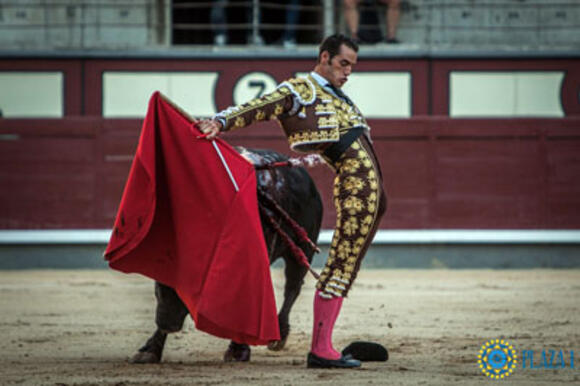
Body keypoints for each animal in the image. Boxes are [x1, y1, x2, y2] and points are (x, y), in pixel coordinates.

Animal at [129, 149, 324, 364]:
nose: (168, 323)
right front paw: (149, 350)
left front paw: (238, 350)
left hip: (302, 249)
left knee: (292, 287)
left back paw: (279, 335)